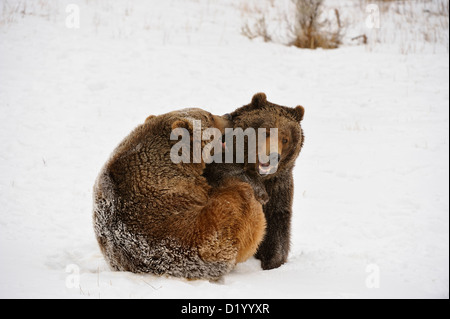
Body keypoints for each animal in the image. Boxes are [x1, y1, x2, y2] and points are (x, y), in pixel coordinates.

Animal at [205, 94, 304, 272]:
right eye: (266, 132)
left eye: (285, 139)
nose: (273, 156)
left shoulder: (279, 185)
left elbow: (277, 221)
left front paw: (272, 260)